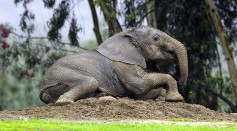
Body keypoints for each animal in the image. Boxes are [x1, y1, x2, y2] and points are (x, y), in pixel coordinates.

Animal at [40, 26, 189, 105]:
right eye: (156, 38)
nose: (183, 81)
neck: (126, 34)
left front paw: (167, 97)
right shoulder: (122, 63)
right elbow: (140, 85)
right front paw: (176, 99)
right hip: (62, 76)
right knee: (91, 82)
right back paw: (64, 102)